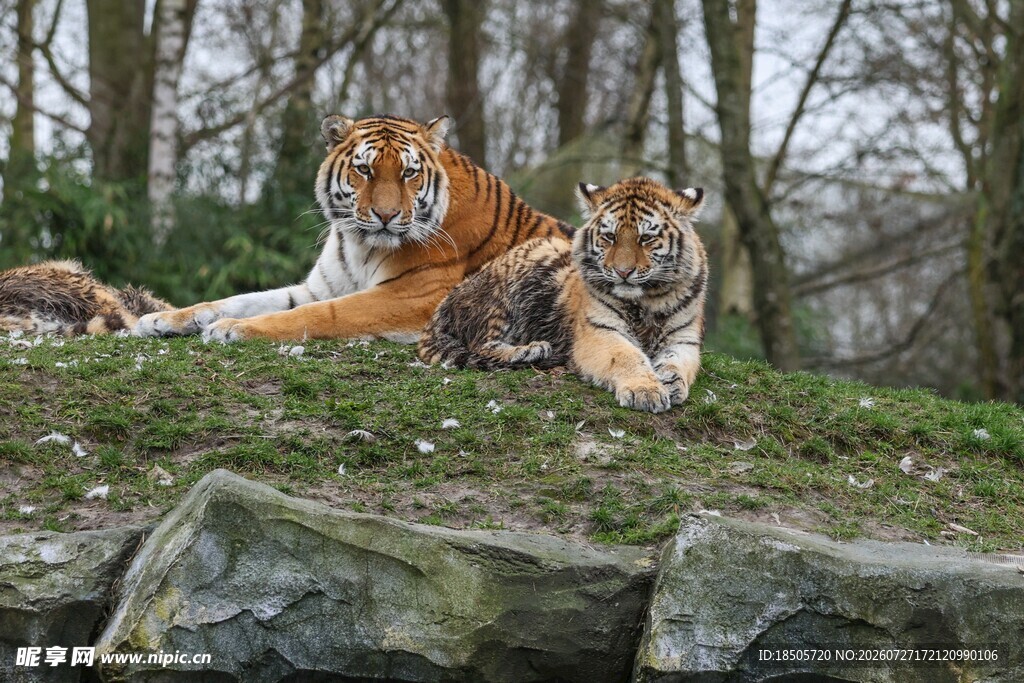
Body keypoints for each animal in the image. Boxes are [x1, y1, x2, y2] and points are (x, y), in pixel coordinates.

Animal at [134, 114, 573, 342]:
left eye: (409, 173)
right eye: (364, 170)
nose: (386, 215)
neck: (361, 244)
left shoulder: (409, 298)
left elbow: (320, 314)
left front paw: (233, 329)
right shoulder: (318, 287)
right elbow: (240, 299)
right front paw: (161, 319)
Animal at [418, 177, 708, 413]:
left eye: (646, 238)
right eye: (610, 237)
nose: (623, 271)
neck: (647, 300)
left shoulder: (683, 340)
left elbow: (675, 364)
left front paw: (671, 383)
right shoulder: (599, 332)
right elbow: (627, 356)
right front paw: (646, 391)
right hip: (513, 284)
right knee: (481, 345)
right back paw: (532, 349)